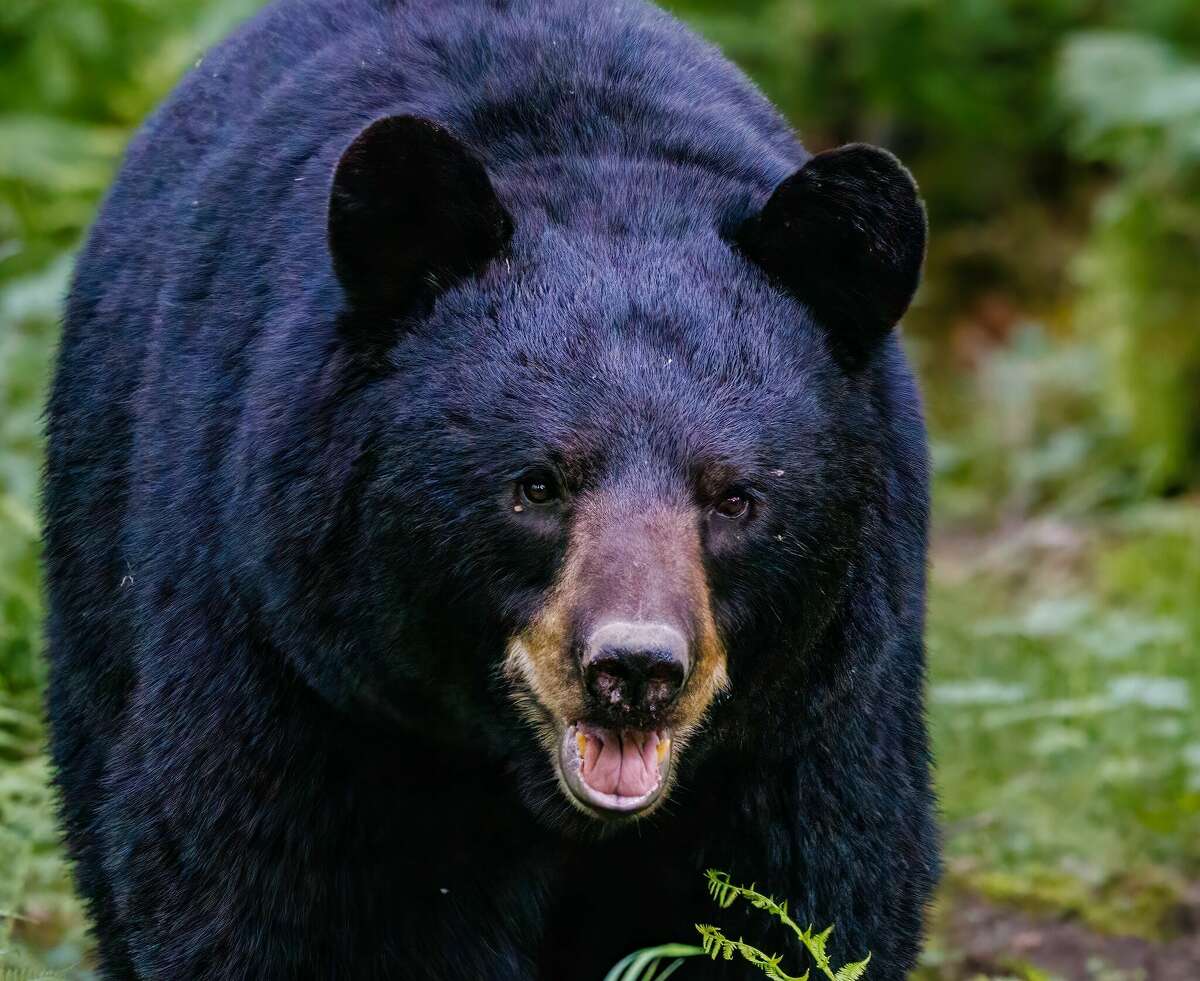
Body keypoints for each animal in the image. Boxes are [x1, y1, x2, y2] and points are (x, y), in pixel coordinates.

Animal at [44, 0, 936, 973]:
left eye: (735, 498)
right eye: (537, 486)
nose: (635, 669)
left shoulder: (814, 717)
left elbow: (804, 896)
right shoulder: (296, 664)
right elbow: (269, 892)